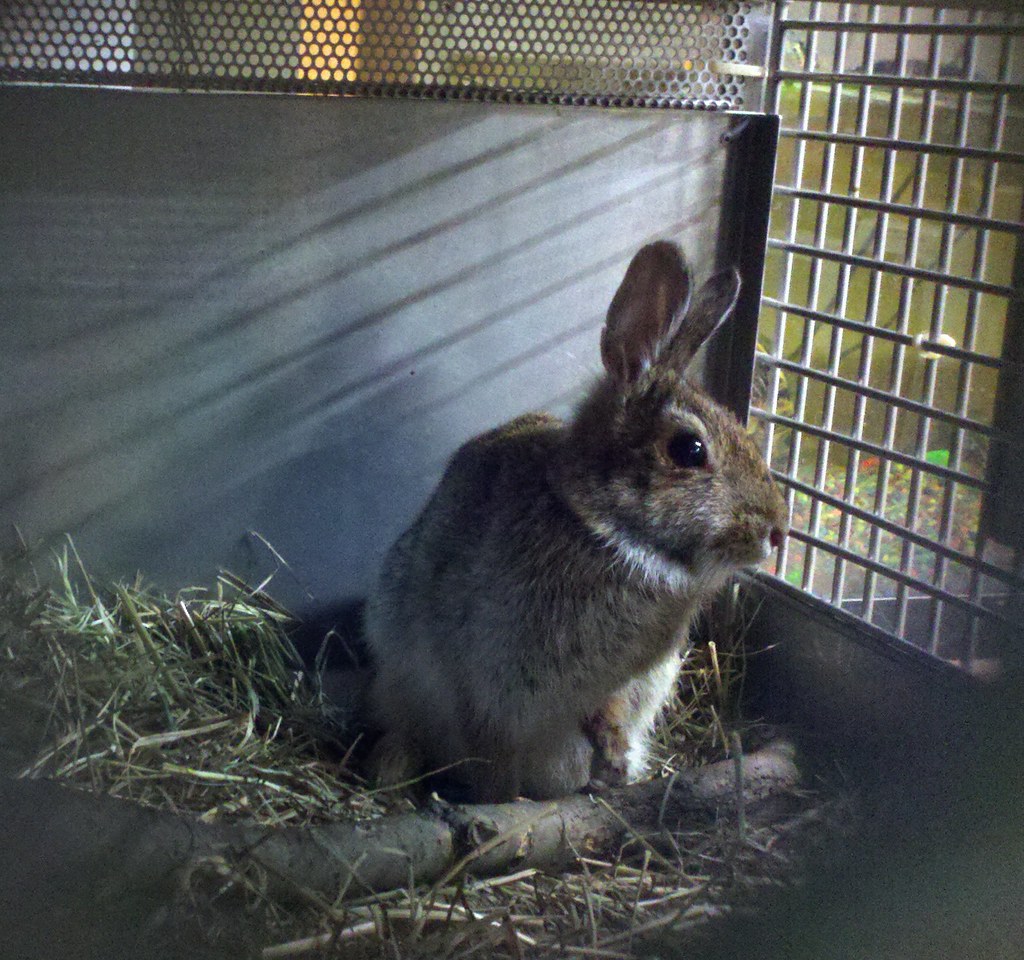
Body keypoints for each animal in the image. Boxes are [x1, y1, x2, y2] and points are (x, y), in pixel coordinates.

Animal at [362, 241, 788, 803]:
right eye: (689, 450)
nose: (776, 531)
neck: (600, 528)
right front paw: (508, 792)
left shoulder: (629, 682)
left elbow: (609, 713)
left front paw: (613, 761)